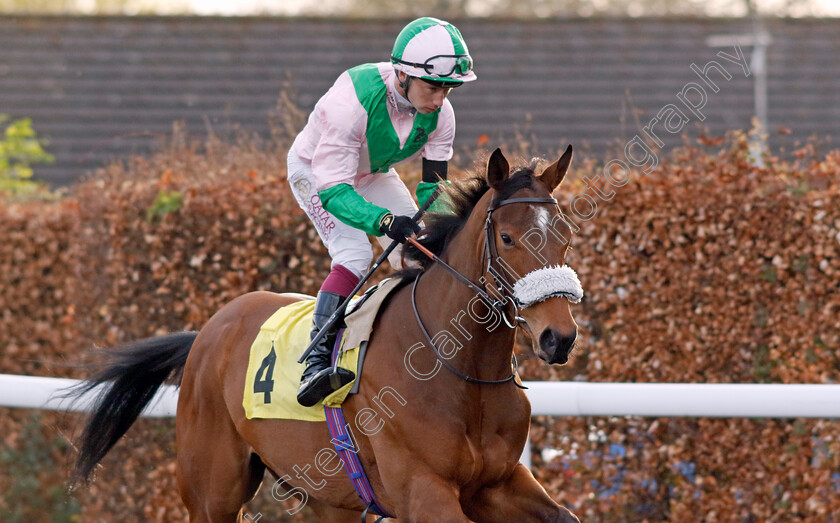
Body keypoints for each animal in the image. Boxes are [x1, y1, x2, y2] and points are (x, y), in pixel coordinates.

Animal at [72, 145, 580, 520]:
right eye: (508, 238)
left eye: (566, 236)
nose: (559, 336)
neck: (460, 368)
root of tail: (206, 333)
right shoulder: (423, 490)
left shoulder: (497, 481)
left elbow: (565, 515)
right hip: (212, 492)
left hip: (328, 496)